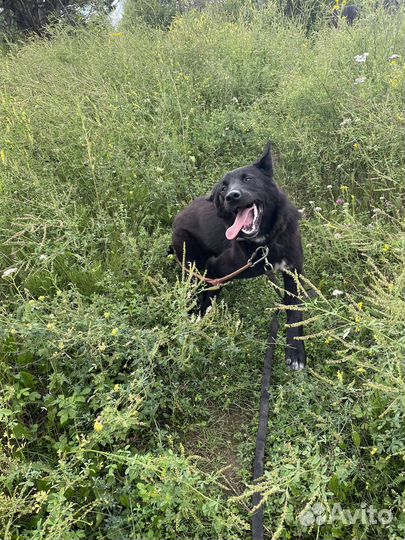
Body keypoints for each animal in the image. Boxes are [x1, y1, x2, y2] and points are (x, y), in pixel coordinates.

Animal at [171, 142, 306, 372]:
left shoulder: (293, 270)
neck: (265, 243)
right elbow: (210, 297)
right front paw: (201, 318)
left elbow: (295, 308)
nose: (231, 196)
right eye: (222, 189)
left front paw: (295, 350)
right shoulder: (216, 268)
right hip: (191, 258)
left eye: (248, 179)